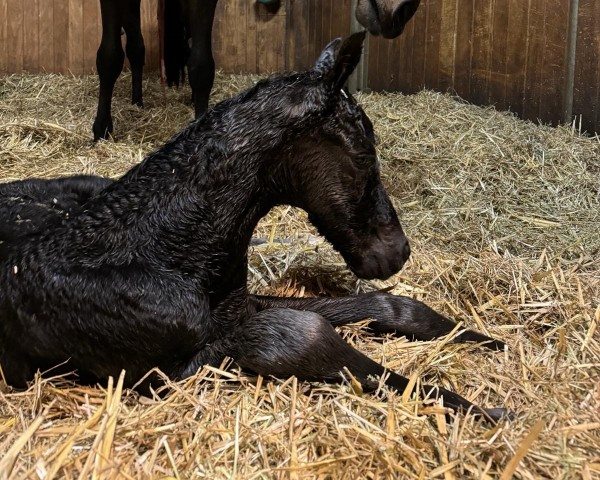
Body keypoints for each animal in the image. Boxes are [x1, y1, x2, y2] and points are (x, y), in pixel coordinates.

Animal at [0, 32, 508, 424]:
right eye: (365, 153)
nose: (399, 250)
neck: (155, 244)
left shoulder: (239, 306)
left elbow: (389, 306)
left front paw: (483, 340)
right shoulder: (161, 375)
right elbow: (300, 334)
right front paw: (475, 407)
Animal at [95, 0, 422, 141]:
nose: (403, 11)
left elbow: (201, 65)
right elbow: (109, 57)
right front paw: (101, 129)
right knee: (136, 46)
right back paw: (137, 100)